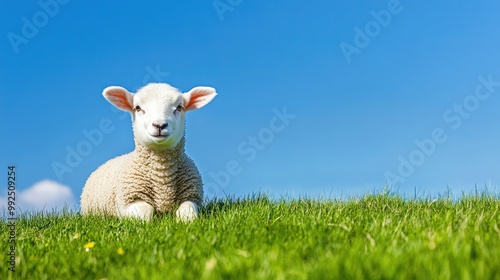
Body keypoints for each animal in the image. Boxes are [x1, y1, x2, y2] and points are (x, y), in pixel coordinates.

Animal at [80, 82, 217, 222]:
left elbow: (188, 211)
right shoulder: (127, 202)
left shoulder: (191, 196)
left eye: (179, 107)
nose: (160, 125)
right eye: (138, 108)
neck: (162, 178)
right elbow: (146, 210)